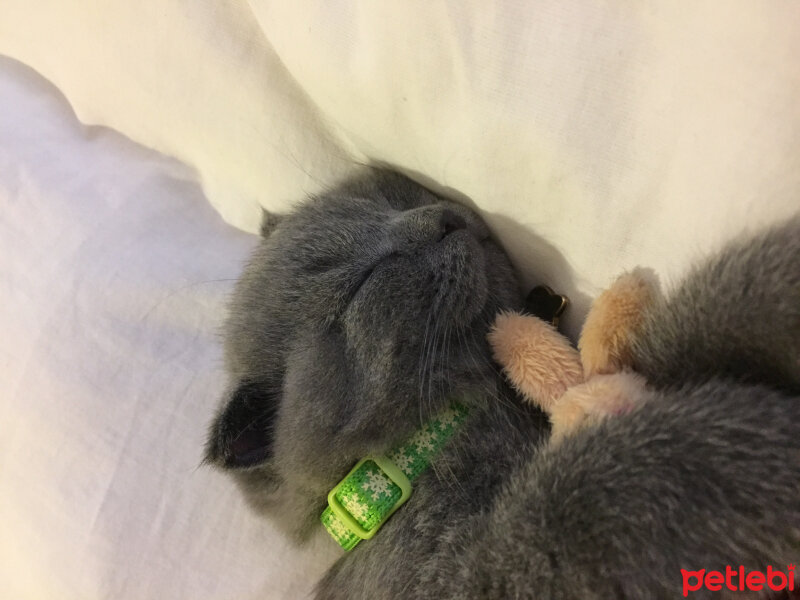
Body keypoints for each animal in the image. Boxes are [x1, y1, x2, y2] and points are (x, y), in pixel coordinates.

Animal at [208, 170, 800, 600]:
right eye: (366, 281)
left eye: (382, 201)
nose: (443, 219)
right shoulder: (462, 577)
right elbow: (574, 501)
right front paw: (736, 449)